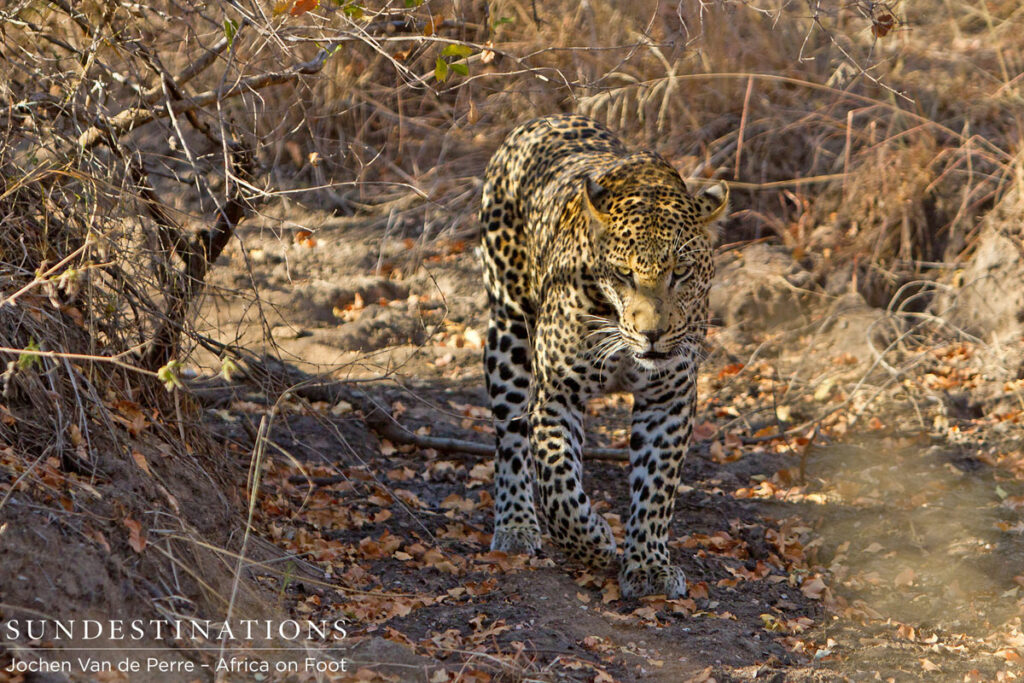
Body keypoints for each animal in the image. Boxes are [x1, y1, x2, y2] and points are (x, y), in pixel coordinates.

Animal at [480, 114, 729, 599]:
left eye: (681, 272)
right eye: (624, 273)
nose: (653, 334)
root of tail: (543, 119)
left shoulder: (668, 401)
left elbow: (656, 488)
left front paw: (649, 564)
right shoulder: (556, 394)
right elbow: (557, 482)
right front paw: (593, 541)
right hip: (508, 328)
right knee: (511, 440)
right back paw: (516, 524)